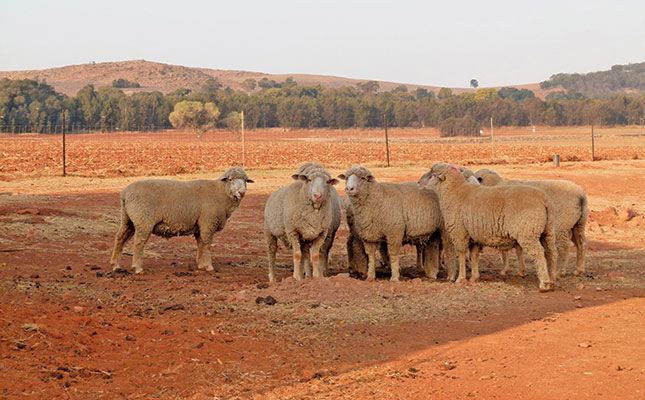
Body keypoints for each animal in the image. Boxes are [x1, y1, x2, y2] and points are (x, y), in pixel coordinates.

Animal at [109, 166, 253, 276]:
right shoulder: (208, 223)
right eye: (231, 179)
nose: (242, 193)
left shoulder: (200, 225)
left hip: (128, 219)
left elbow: (200, 244)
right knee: (139, 243)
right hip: (143, 220)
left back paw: (115, 265)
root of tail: (125, 193)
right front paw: (209, 267)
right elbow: (207, 245)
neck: (220, 193)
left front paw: (200, 265)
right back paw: (138, 268)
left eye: (245, 180)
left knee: (120, 238)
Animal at [420, 162, 556, 290]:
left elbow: (462, 255)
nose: (419, 182)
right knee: (551, 252)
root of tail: (544, 199)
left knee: (539, 254)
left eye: (432, 174)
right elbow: (474, 256)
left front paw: (460, 278)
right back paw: (552, 279)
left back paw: (544, 283)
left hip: (528, 232)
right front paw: (474, 278)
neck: (454, 192)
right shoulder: (474, 235)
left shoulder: (459, 232)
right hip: (547, 231)